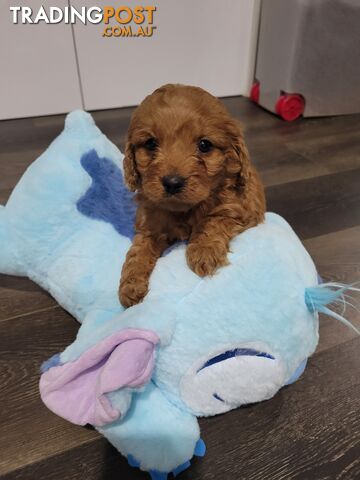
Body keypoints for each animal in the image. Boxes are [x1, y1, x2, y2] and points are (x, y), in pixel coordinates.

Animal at [119, 83, 266, 308]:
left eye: (204, 145)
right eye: (151, 143)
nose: (172, 182)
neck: (184, 210)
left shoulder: (238, 209)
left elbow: (214, 221)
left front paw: (204, 251)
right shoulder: (150, 225)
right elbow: (138, 250)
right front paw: (130, 284)